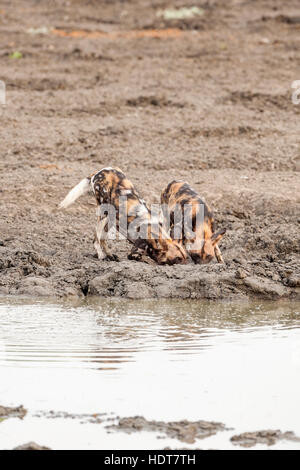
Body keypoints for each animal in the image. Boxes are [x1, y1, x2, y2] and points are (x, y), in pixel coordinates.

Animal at [58, 168, 188, 264]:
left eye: (186, 258)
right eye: (178, 259)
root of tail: (99, 172)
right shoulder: (135, 250)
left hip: (110, 220)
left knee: (102, 239)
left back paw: (110, 255)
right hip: (104, 215)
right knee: (96, 239)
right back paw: (101, 256)